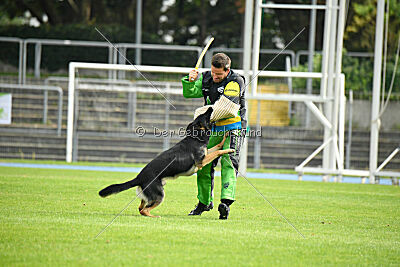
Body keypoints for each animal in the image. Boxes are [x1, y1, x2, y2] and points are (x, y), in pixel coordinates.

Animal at [98, 108, 233, 219]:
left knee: (141, 208)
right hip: (159, 195)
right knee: (144, 210)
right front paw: (229, 150)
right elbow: (218, 151)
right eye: (205, 115)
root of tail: (139, 177)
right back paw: (155, 216)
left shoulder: (206, 154)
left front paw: (226, 138)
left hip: (150, 195)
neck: (195, 137)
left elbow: (218, 146)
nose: (210, 107)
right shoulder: (201, 162)